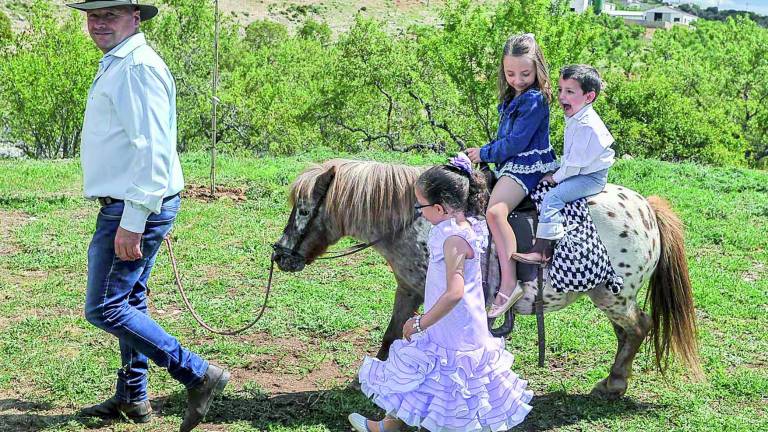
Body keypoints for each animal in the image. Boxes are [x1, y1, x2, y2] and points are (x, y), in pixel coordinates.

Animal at [272, 159, 704, 398]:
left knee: (639, 326)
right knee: (627, 333)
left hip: (613, 297)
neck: (416, 220)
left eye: (304, 209)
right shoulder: (409, 288)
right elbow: (392, 335)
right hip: (611, 296)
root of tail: (647, 208)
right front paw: (374, 380)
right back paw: (615, 381)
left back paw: (613, 384)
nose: (280, 255)